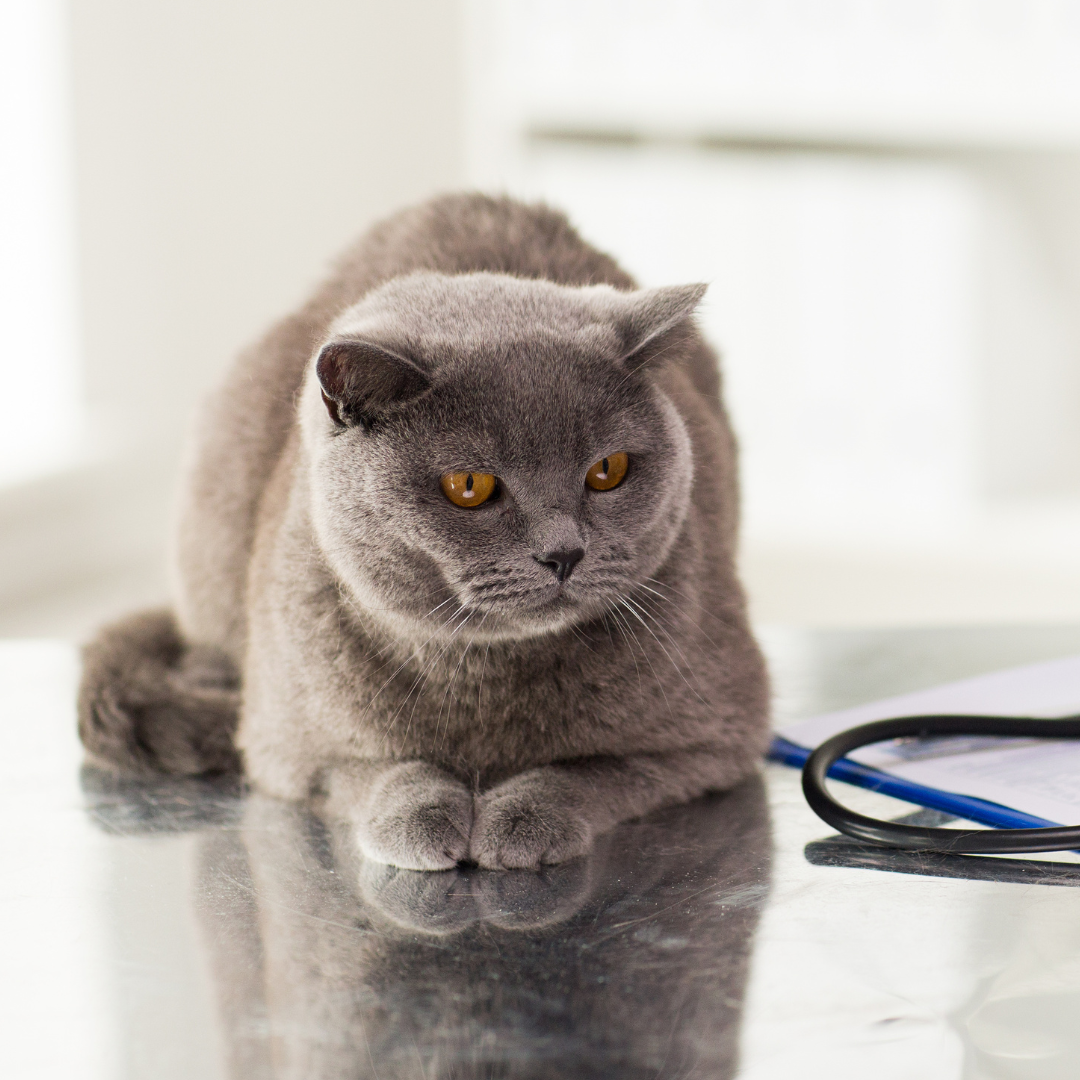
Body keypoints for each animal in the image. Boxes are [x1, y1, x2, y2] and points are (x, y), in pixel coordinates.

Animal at [79, 192, 773, 868]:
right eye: (469, 486)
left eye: (608, 470)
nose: (565, 553)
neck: (481, 682)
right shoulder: (284, 746)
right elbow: (379, 772)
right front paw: (423, 815)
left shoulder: (715, 736)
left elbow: (595, 772)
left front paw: (522, 818)